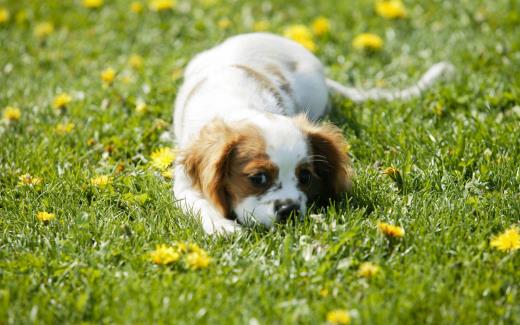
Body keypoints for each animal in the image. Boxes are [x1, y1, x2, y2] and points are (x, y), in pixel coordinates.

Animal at [173, 32, 452, 233]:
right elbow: (200, 203)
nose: (289, 210)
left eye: (305, 177)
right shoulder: (184, 185)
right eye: (258, 178)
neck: (240, 105)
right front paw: (222, 226)